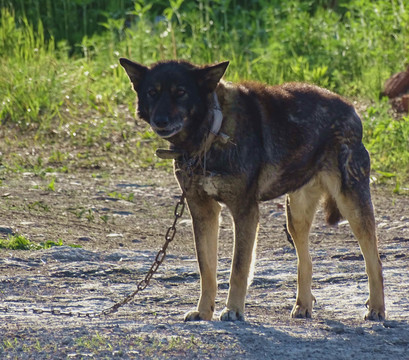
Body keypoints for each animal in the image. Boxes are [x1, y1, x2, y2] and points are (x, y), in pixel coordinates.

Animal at [119, 57, 384, 322]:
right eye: (152, 93)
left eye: (181, 92)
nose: (160, 121)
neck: (211, 132)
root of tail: (351, 110)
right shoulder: (204, 212)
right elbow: (207, 270)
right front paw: (204, 311)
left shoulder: (244, 212)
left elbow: (238, 269)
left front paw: (233, 309)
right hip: (295, 217)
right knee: (306, 262)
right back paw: (303, 305)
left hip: (352, 207)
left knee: (374, 260)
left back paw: (376, 308)